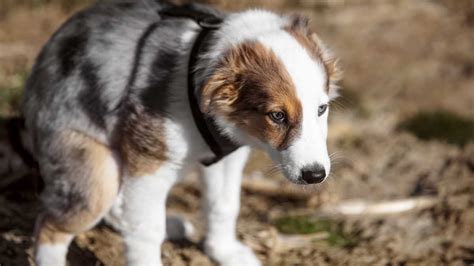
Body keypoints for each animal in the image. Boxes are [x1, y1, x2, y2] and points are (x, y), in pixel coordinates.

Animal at [22, 1, 340, 264]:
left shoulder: (227, 157)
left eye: (322, 109)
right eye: (277, 116)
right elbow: (146, 231)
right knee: (51, 225)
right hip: (96, 170)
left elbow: (224, 205)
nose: (315, 175)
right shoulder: (149, 163)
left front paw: (224, 252)